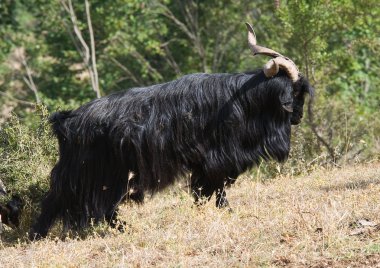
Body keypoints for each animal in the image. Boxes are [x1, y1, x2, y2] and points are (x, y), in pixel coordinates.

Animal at [29, 24, 314, 240]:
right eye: (294, 93)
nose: (299, 117)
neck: (241, 99)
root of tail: (67, 120)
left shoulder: (203, 164)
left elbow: (203, 192)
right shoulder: (217, 160)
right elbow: (218, 189)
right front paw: (228, 212)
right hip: (93, 172)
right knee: (64, 199)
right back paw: (38, 234)